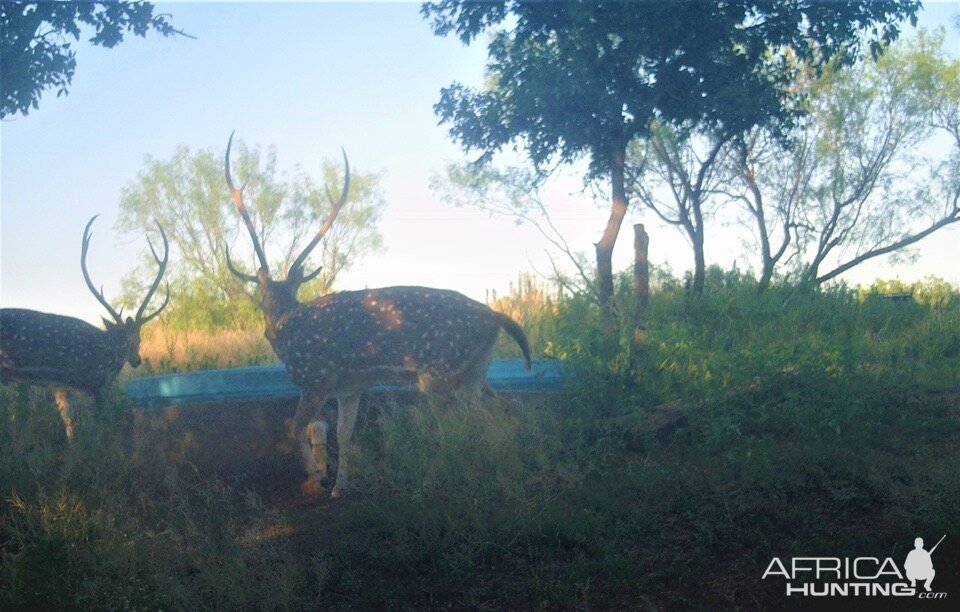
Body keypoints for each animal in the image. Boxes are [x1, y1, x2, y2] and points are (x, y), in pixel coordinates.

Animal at [0, 216, 169, 440]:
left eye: (139, 339)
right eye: (122, 340)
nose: (136, 360)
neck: (107, 352)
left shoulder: (62, 389)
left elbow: (71, 429)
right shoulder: (98, 384)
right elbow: (100, 428)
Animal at [225, 134, 532, 498]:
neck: (285, 327)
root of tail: (496, 317)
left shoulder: (315, 378)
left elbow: (296, 427)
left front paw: (318, 479)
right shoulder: (350, 387)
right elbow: (343, 433)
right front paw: (339, 488)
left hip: (439, 372)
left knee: (456, 427)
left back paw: (428, 484)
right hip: (475, 372)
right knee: (503, 412)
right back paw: (509, 476)